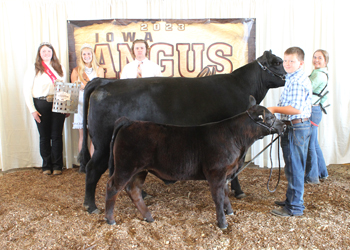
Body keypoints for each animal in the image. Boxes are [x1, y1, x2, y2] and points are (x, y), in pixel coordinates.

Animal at [80, 49, 286, 214]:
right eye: (277, 62)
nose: (286, 75)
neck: (242, 86)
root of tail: (104, 82)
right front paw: (239, 191)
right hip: (103, 145)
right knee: (92, 168)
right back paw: (91, 206)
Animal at [105, 96, 286, 229]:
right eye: (270, 117)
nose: (284, 126)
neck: (235, 138)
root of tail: (130, 122)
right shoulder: (216, 172)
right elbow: (218, 197)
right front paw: (222, 223)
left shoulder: (226, 173)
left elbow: (226, 193)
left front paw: (229, 211)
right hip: (125, 166)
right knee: (113, 187)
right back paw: (110, 219)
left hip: (140, 169)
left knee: (133, 190)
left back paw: (148, 217)